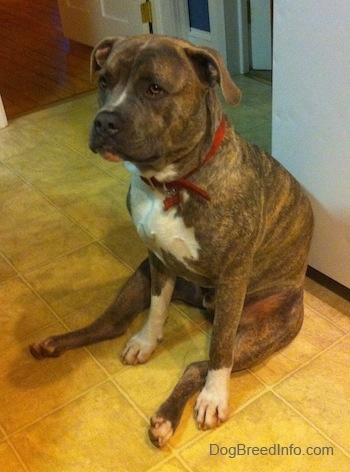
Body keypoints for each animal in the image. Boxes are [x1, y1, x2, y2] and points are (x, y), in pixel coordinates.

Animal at [30, 35, 314, 448]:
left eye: (154, 88)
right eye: (104, 80)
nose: (103, 120)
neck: (171, 183)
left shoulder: (233, 279)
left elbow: (219, 351)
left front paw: (214, 396)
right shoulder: (157, 261)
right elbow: (157, 310)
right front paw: (147, 342)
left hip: (261, 328)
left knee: (199, 363)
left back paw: (171, 414)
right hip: (140, 276)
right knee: (110, 323)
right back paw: (54, 343)